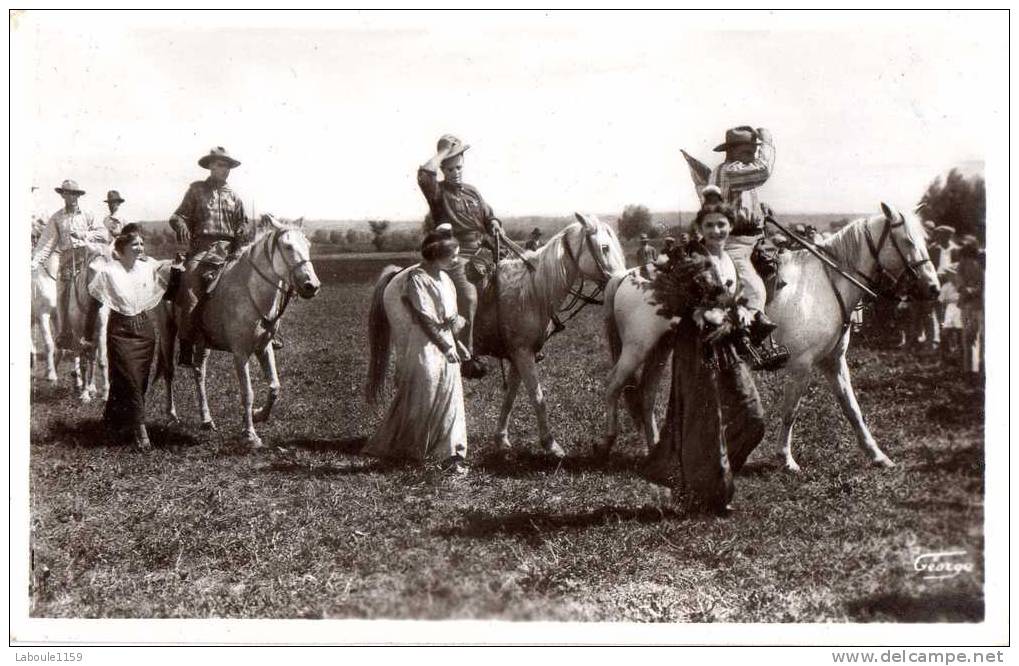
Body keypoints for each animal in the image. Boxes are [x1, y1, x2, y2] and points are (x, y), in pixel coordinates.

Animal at [599, 202, 941, 470]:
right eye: (907, 241)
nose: (934, 288)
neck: (826, 283)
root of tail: (629, 274)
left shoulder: (833, 362)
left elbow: (852, 409)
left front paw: (878, 456)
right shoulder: (802, 365)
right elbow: (790, 411)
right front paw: (786, 459)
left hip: (658, 348)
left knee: (645, 394)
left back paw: (653, 449)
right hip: (636, 348)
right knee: (613, 384)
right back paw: (606, 442)